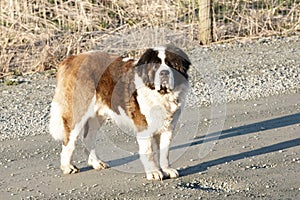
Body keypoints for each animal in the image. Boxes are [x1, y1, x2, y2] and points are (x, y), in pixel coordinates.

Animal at [49, 44, 190, 180]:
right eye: (155, 65)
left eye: (171, 64)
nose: (164, 73)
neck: (161, 95)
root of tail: (72, 59)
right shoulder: (144, 126)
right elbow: (148, 151)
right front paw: (154, 172)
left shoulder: (168, 127)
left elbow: (165, 152)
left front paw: (167, 169)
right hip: (79, 112)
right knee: (69, 141)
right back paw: (67, 167)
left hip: (97, 116)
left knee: (88, 138)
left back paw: (96, 163)